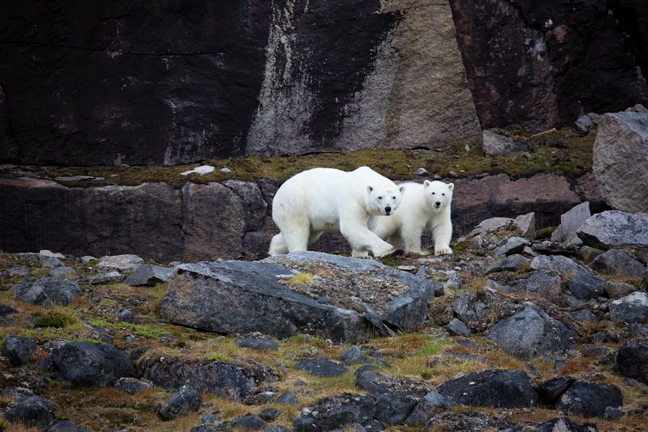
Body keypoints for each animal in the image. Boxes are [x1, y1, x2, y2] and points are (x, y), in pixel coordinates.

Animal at [268, 166, 405, 258]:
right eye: (380, 197)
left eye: (394, 197)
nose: (387, 208)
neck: (358, 186)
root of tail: (277, 194)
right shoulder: (351, 201)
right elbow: (352, 226)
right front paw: (388, 249)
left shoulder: (370, 213)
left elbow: (368, 228)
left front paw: (362, 255)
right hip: (295, 204)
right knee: (297, 230)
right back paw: (299, 252)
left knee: (308, 234)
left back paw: (274, 252)